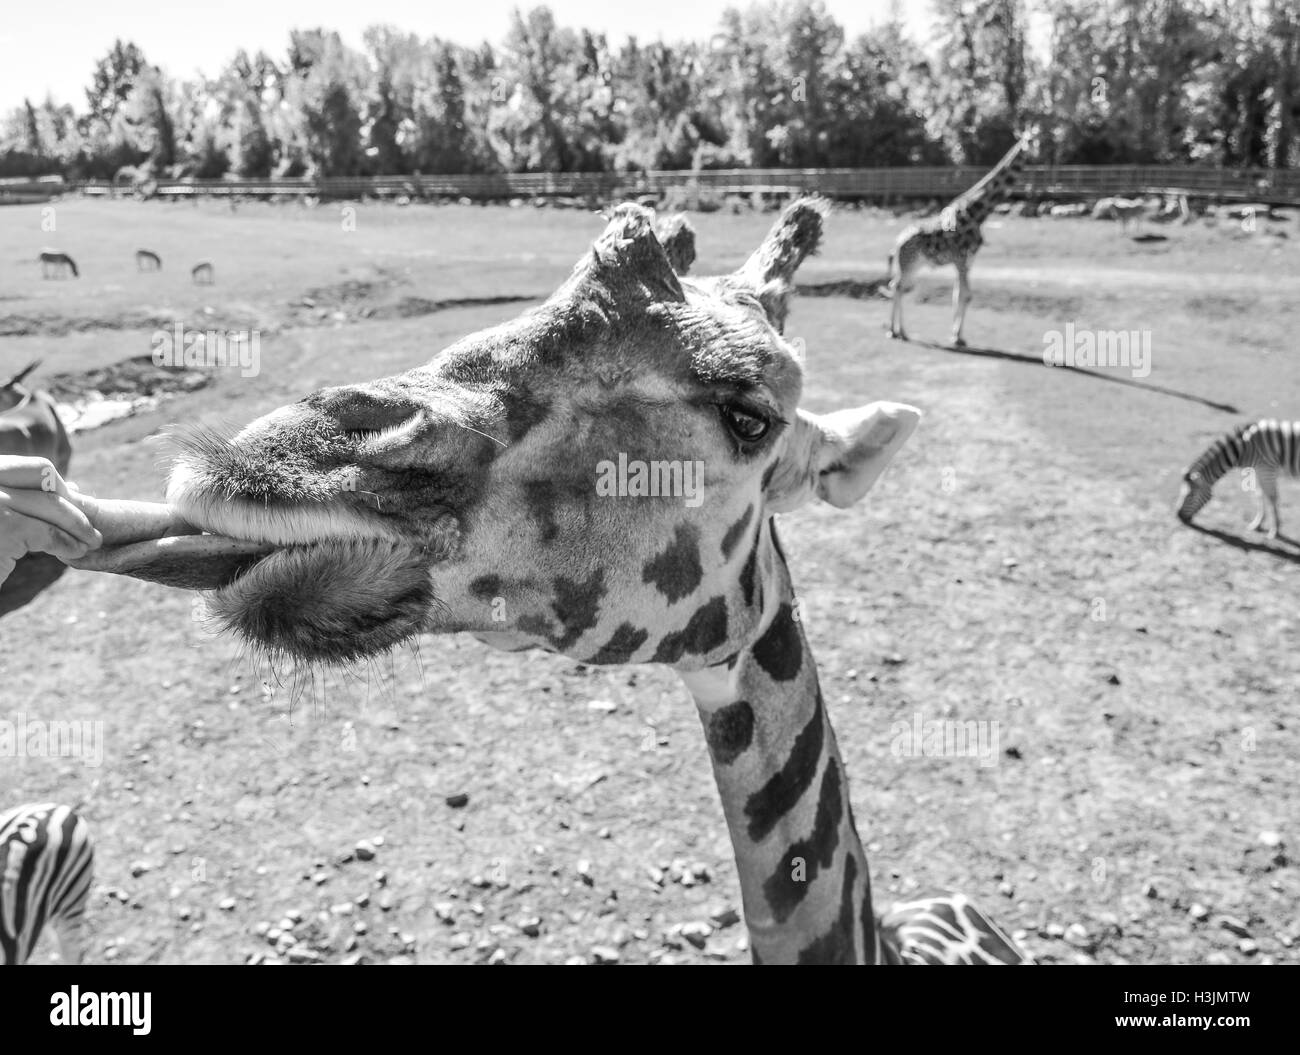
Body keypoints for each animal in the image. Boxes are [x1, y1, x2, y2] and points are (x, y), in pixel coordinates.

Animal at [887, 130, 1036, 347]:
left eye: (1037, 139)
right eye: (1029, 140)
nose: (1036, 152)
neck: (978, 213)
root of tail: (896, 245)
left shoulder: (968, 260)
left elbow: (959, 295)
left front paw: (957, 336)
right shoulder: (961, 259)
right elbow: (965, 296)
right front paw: (956, 337)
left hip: (915, 266)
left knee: (896, 286)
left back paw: (900, 331)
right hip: (909, 264)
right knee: (897, 287)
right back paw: (896, 331)